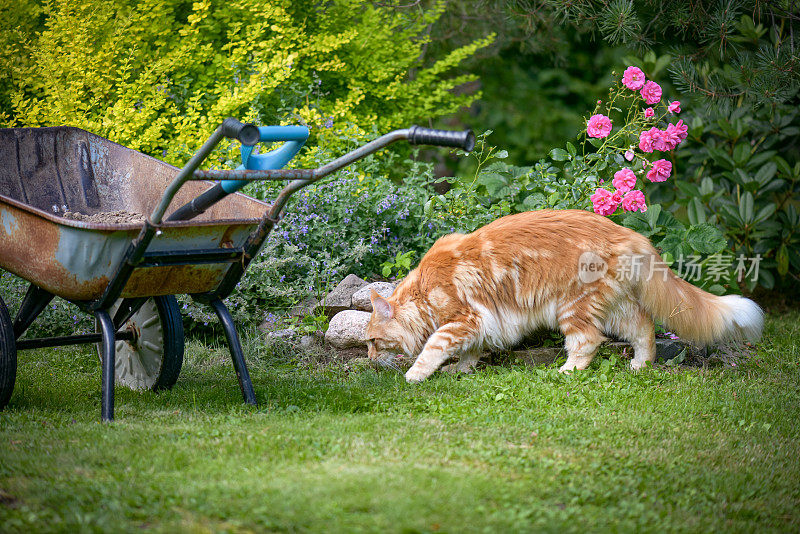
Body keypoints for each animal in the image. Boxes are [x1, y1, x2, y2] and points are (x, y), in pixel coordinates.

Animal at [364, 207, 764, 384]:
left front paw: (416, 374)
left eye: (371, 341)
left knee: (588, 341)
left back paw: (568, 370)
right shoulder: (482, 322)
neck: (424, 290)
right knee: (644, 328)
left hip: (572, 307)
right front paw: (461, 368)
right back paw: (641, 364)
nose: (367, 358)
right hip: (614, 306)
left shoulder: (464, 318)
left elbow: (434, 346)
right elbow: (471, 351)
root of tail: (630, 234)